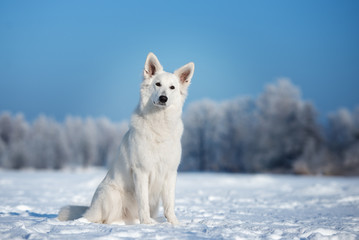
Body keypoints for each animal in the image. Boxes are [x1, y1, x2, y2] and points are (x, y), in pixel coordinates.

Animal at [58, 52, 194, 225]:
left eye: (172, 88)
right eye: (157, 84)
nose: (163, 98)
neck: (159, 126)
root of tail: (90, 209)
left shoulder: (170, 173)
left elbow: (170, 204)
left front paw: (174, 224)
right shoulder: (141, 172)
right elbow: (143, 202)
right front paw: (147, 224)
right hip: (111, 195)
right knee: (102, 219)